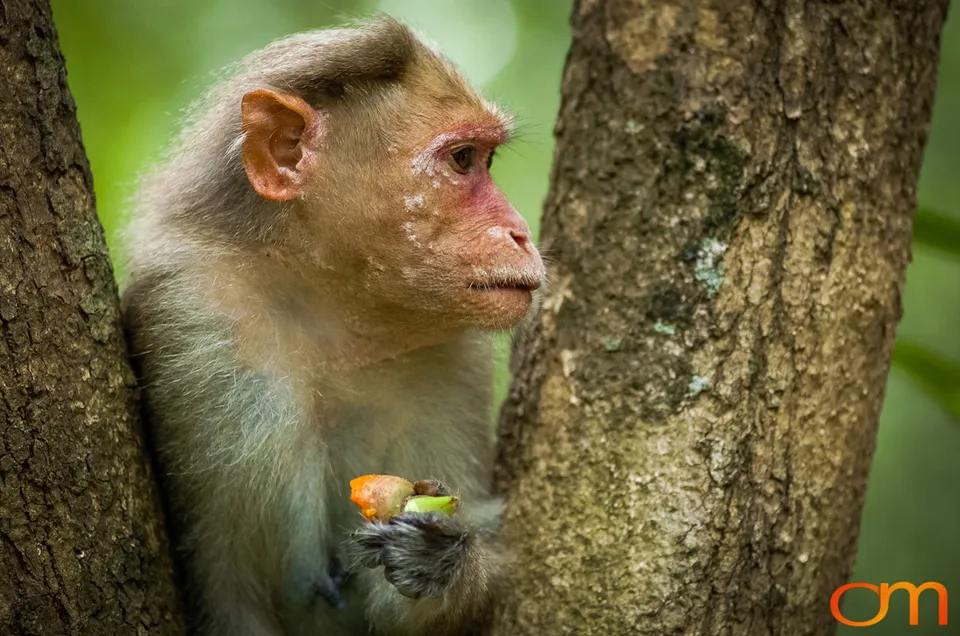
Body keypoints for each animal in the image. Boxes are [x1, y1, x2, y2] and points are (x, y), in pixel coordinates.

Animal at [120, 15, 545, 636]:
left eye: (484, 159)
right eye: (463, 159)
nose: (520, 232)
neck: (338, 317)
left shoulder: (454, 360)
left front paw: (441, 560)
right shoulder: (192, 320)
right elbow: (230, 594)